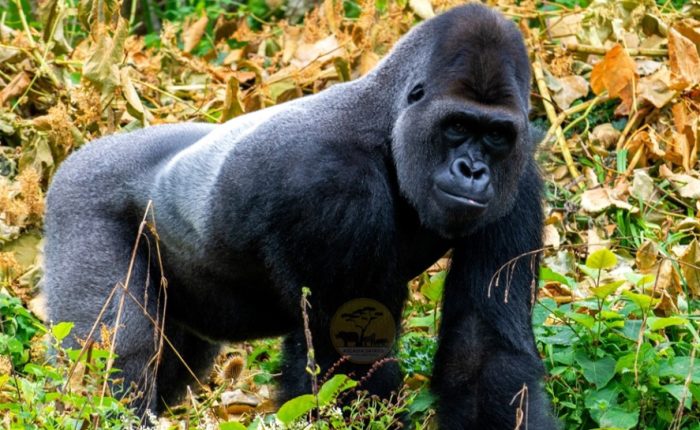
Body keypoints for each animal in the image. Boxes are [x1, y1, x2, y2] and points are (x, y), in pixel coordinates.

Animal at [44, 4, 557, 428]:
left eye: (496, 135)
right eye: (456, 125)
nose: (472, 170)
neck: (387, 127)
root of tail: (80, 154)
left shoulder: (520, 180)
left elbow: (482, 350)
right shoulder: (329, 186)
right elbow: (343, 363)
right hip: (80, 200)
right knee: (114, 366)